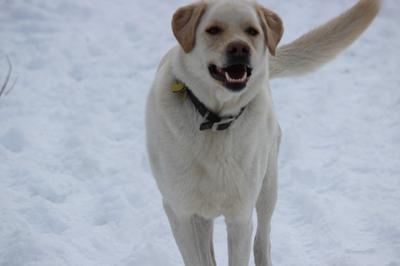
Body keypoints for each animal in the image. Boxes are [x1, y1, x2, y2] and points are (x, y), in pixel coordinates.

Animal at [145, 1, 380, 264]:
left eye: (252, 31)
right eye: (213, 30)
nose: (239, 47)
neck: (214, 120)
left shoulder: (240, 216)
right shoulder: (180, 212)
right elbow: (198, 257)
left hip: (268, 187)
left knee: (263, 239)